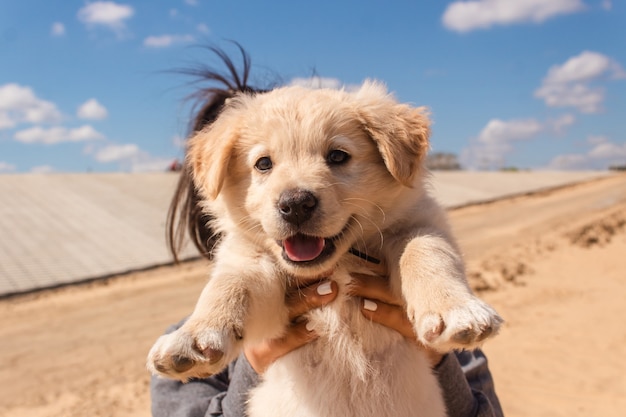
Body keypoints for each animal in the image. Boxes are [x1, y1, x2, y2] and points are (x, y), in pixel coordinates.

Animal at [147, 81, 502, 416]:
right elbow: (230, 286)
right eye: (263, 164)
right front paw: (192, 337)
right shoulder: (254, 266)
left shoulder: (421, 224)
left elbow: (426, 252)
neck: (338, 264)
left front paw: (456, 310)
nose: (295, 205)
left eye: (338, 156)